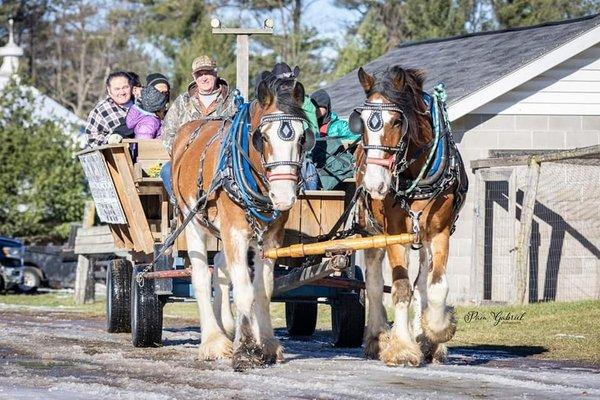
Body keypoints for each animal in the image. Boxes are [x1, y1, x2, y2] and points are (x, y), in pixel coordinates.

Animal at [169, 73, 310, 370]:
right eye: (263, 138)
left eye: (302, 137)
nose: (284, 196)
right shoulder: (234, 231)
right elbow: (244, 290)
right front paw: (245, 349)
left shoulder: (270, 238)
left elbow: (263, 290)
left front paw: (266, 344)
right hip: (192, 220)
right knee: (201, 275)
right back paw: (213, 341)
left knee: (221, 268)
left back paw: (226, 326)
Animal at [352, 67, 468, 368]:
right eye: (363, 123)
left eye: (396, 122)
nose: (374, 183)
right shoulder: (394, 234)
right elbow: (401, 288)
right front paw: (402, 348)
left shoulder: (440, 232)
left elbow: (434, 286)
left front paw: (435, 334)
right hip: (370, 231)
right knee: (373, 281)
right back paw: (376, 337)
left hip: (422, 236)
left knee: (423, 282)